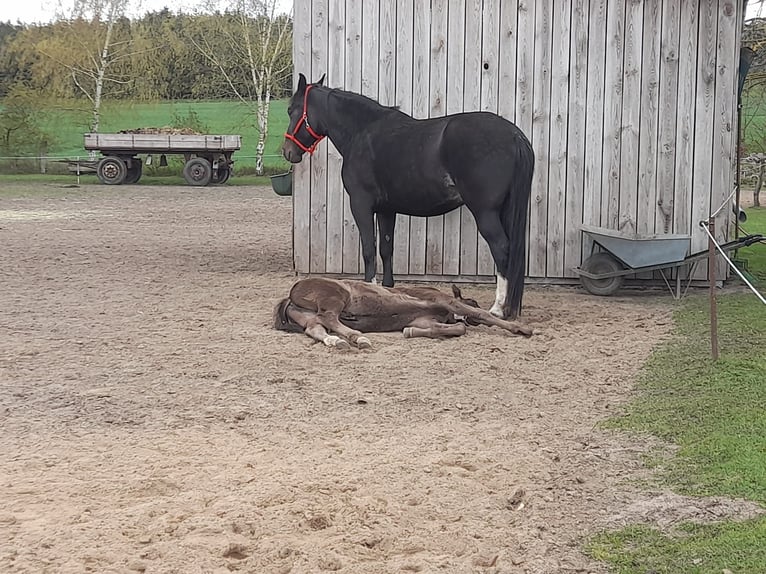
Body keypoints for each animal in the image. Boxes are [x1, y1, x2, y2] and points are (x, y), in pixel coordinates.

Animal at [274, 280, 536, 352]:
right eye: (473, 299)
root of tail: (291, 294)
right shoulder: (444, 300)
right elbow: (479, 315)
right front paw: (522, 328)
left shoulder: (425, 320)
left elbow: (455, 329)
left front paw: (409, 332)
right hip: (336, 298)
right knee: (330, 318)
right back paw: (358, 337)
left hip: (309, 317)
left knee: (316, 328)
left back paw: (338, 341)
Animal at [280, 73, 536, 320]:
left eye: (291, 110)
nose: (287, 152)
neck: (362, 132)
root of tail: (514, 135)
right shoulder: (386, 209)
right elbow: (386, 249)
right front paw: (388, 289)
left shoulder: (361, 205)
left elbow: (369, 249)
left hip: (485, 212)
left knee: (501, 248)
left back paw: (498, 308)